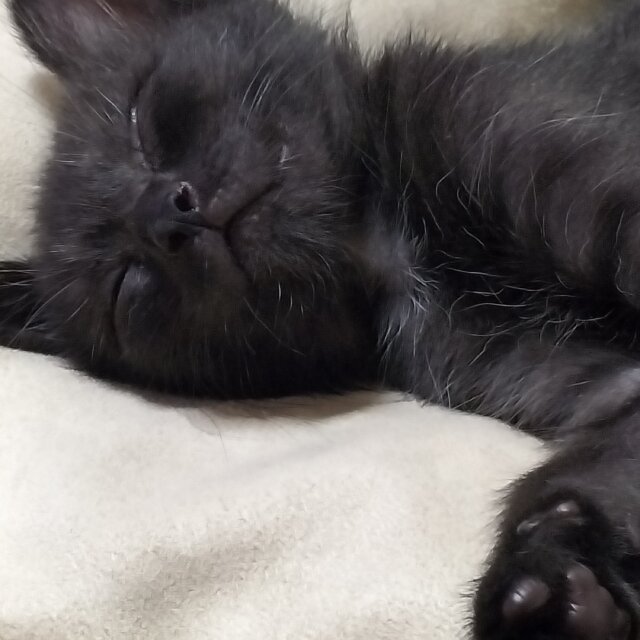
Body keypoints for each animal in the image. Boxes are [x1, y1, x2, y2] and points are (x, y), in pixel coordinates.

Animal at [6, 0, 640, 637]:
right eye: (123, 290)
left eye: (142, 123)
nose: (166, 217)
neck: (402, 247)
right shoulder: (581, 380)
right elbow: (602, 465)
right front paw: (556, 584)